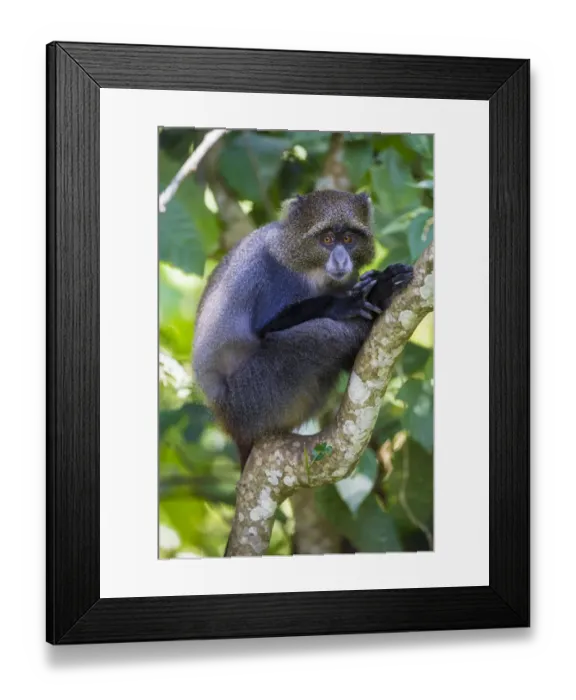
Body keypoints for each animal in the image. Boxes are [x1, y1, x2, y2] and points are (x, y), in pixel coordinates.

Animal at [192, 189, 413, 472]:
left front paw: (373, 282)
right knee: (324, 334)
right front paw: (356, 299)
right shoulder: (279, 278)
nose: (341, 259)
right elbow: (267, 327)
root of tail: (231, 425)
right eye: (327, 239)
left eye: (348, 239)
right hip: (255, 394)